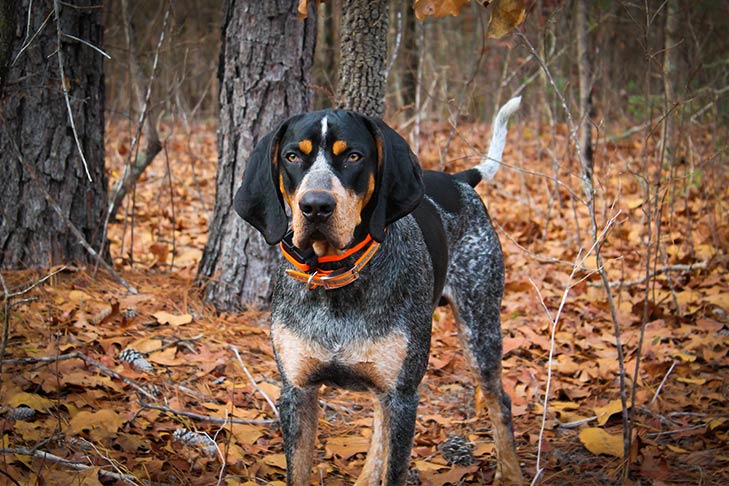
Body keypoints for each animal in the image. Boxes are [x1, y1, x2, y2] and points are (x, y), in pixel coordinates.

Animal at [235, 97, 524, 484]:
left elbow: (395, 468)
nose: (315, 206)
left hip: (480, 326)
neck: (336, 279)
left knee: (499, 401)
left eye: (354, 156)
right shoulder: (297, 392)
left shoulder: (403, 396)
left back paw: (512, 473)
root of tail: (458, 179)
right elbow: (300, 470)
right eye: (292, 156)